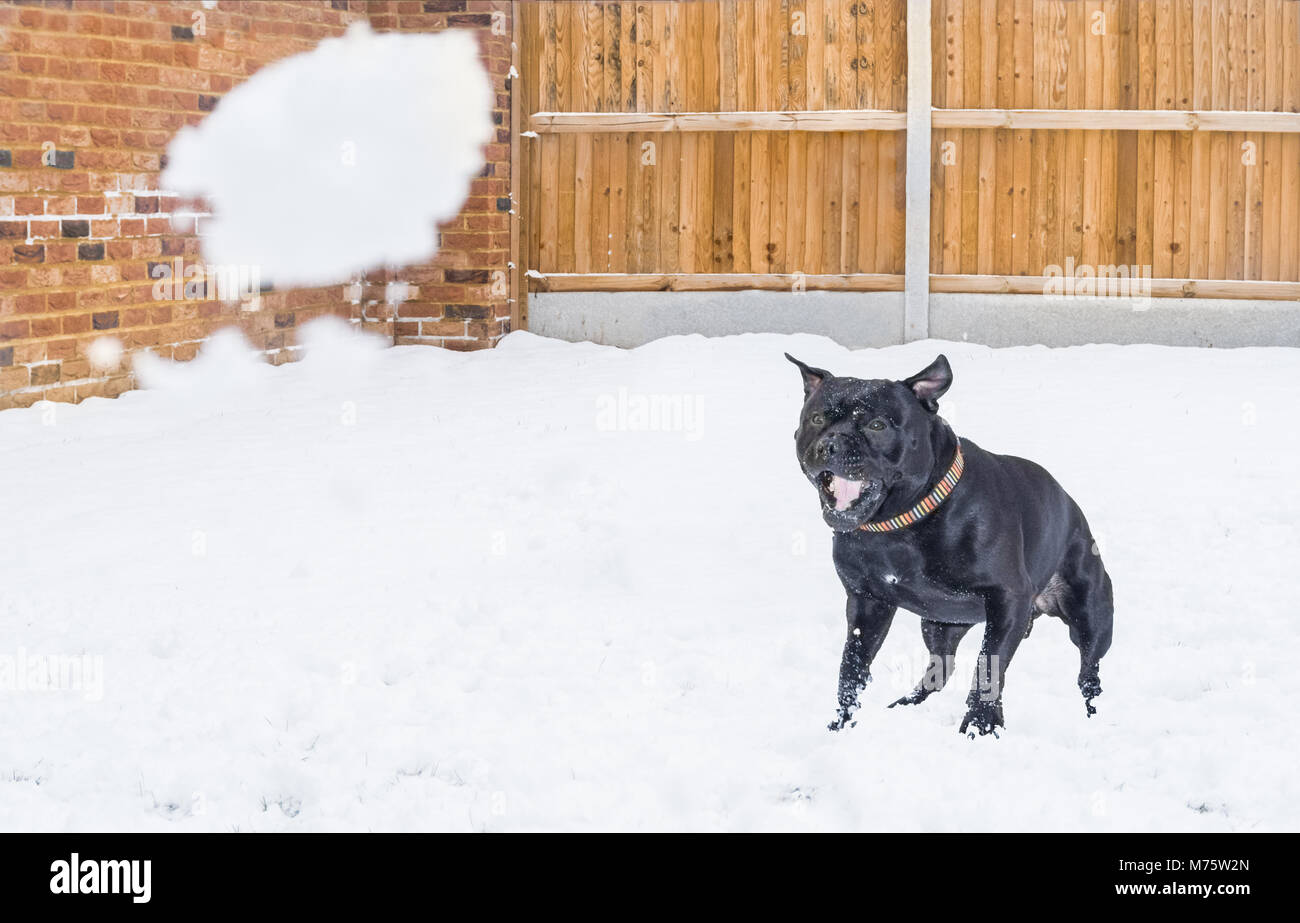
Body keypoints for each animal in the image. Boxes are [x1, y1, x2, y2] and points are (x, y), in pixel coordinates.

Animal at [785, 353, 1112, 738]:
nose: (829, 446)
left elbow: (989, 665)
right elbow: (851, 669)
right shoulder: (867, 604)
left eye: (878, 425)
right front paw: (841, 724)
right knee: (939, 670)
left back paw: (1093, 716)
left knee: (1088, 674)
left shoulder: (1008, 600)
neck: (900, 526)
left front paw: (981, 727)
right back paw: (904, 704)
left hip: (1090, 617)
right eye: (817, 418)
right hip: (938, 624)